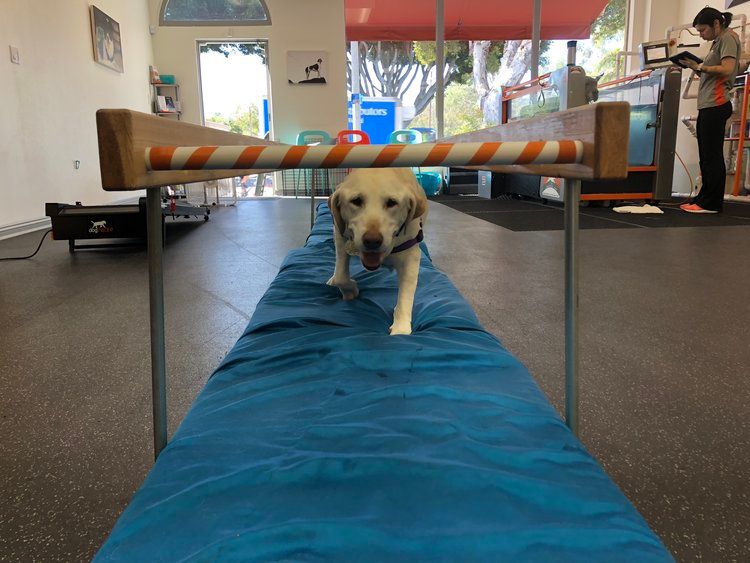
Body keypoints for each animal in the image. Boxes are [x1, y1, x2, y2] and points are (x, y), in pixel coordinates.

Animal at [328, 167, 428, 334]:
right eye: (356, 200)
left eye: (392, 202)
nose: (372, 241)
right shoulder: (340, 236)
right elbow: (341, 276)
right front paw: (350, 290)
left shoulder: (411, 255)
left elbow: (406, 295)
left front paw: (401, 328)